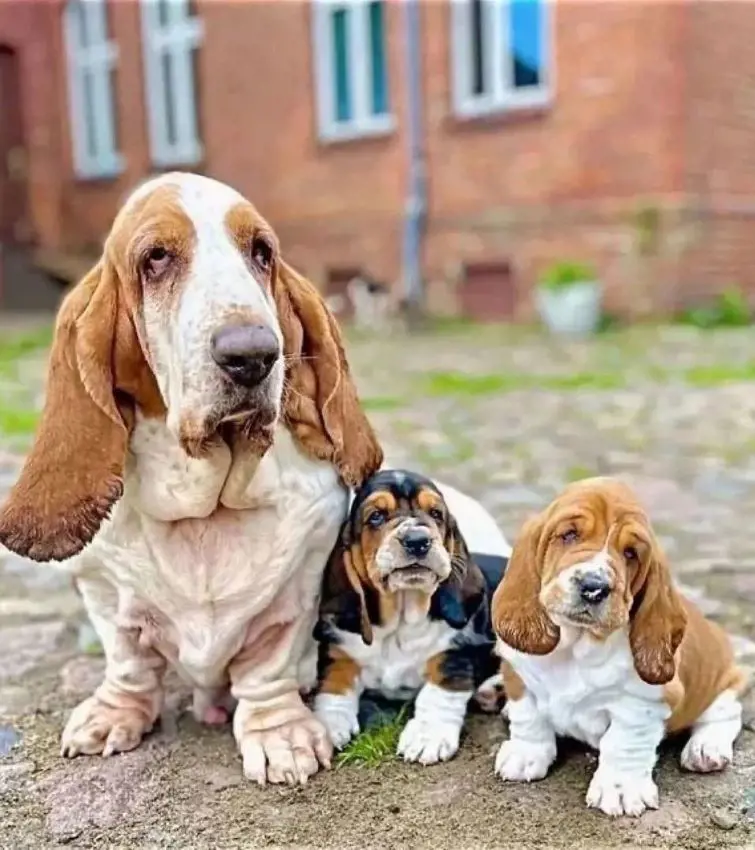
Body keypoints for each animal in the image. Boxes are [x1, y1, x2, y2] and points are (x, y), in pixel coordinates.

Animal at [0, 171, 380, 780]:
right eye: (155, 257)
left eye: (262, 252)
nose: (252, 355)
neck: (207, 507)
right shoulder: (103, 589)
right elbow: (127, 661)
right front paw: (114, 715)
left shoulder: (294, 593)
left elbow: (268, 668)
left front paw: (281, 736)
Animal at [310, 468, 510, 764]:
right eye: (376, 516)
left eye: (436, 514)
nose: (417, 540)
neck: (399, 623)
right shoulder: (339, 649)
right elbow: (335, 682)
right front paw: (328, 724)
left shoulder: (456, 651)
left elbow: (438, 691)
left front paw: (428, 736)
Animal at [494, 476, 748, 816]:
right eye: (569, 535)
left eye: (630, 553)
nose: (594, 587)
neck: (578, 644)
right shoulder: (518, 671)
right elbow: (529, 717)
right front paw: (524, 755)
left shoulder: (643, 702)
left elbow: (623, 742)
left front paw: (621, 789)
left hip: (725, 681)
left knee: (725, 713)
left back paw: (705, 748)